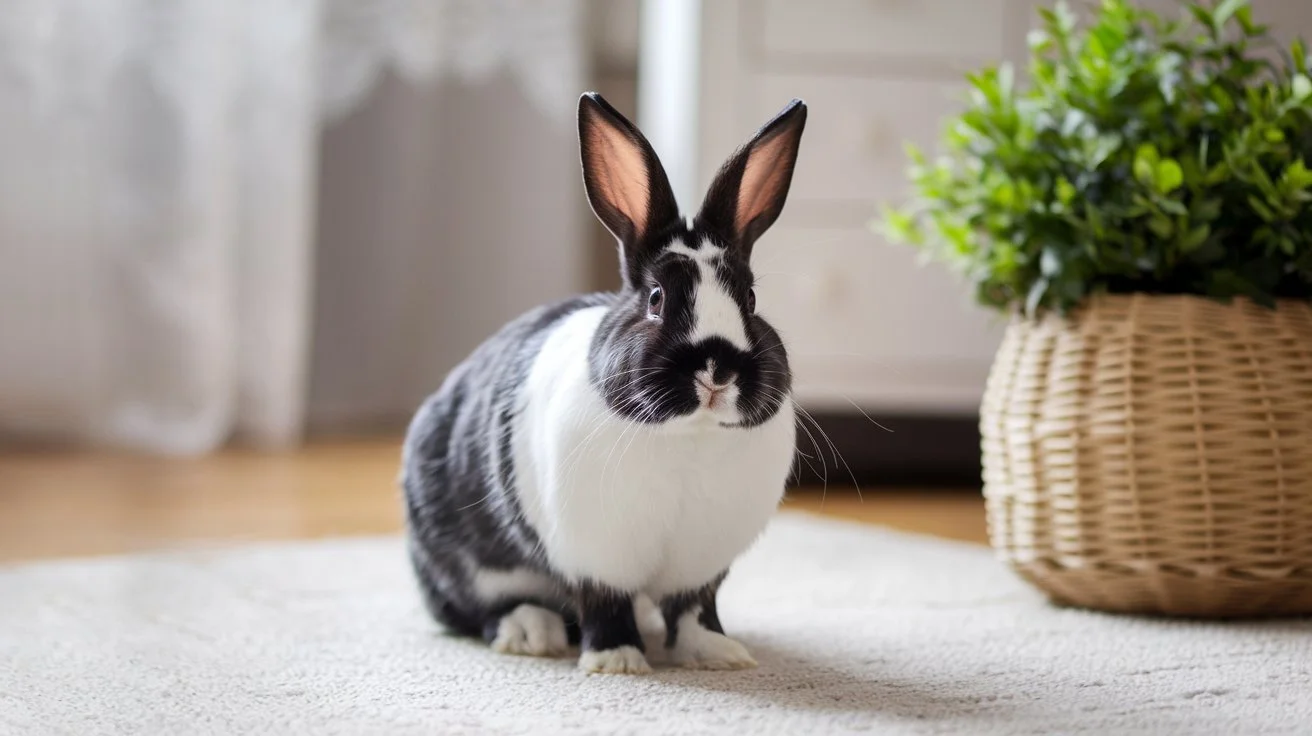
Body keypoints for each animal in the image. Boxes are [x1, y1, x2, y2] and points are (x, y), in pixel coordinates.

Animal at [401, 91, 807, 674]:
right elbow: (604, 603)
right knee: (476, 611)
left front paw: (718, 654)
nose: (717, 370)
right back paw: (533, 633)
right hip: (466, 567)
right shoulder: (594, 555)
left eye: (750, 300)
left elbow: (694, 611)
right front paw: (617, 661)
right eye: (656, 299)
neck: (691, 436)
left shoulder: (701, 566)